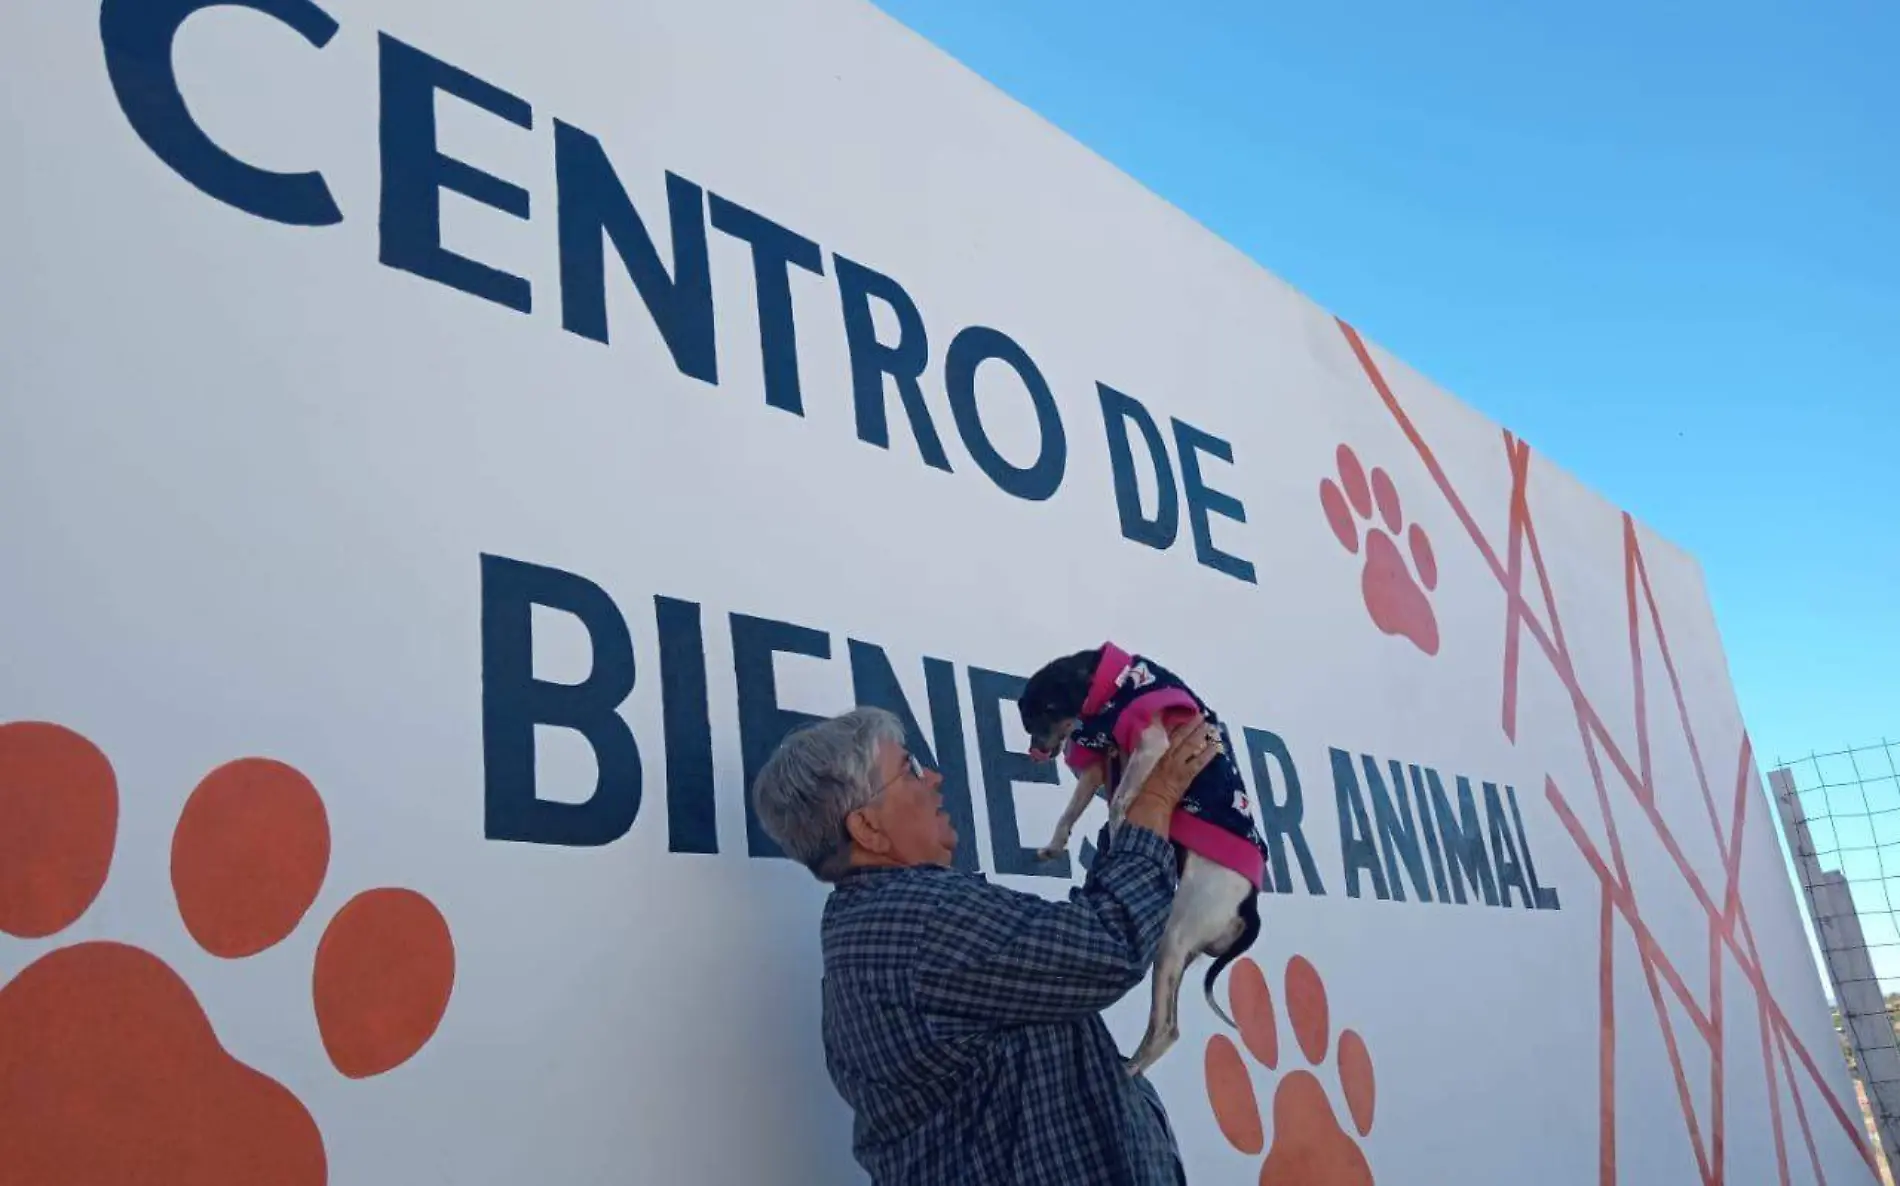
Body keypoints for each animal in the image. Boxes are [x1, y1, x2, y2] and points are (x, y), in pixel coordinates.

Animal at [1018, 642, 1269, 1079]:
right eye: (1027, 720)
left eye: (1047, 711)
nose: (1038, 751)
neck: (1114, 684)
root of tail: (1247, 904)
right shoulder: (1101, 767)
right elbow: (1070, 811)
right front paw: (1054, 845)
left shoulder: (1151, 745)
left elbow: (1121, 799)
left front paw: (1119, 825)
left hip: (1174, 938)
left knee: (1167, 1030)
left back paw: (1131, 1070)